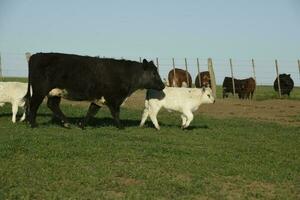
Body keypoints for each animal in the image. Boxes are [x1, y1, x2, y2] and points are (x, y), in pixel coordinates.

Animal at [24, 52, 164, 128]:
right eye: (153, 73)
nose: (163, 85)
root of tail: (36, 55)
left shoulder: (99, 99)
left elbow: (91, 111)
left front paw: (82, 125)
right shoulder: (114, 99)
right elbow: (115, 113)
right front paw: (121, 127)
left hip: (55, 92)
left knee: (52, 105)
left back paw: (67, 123)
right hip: (40, 90)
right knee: (34, 105)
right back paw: (33, 124)